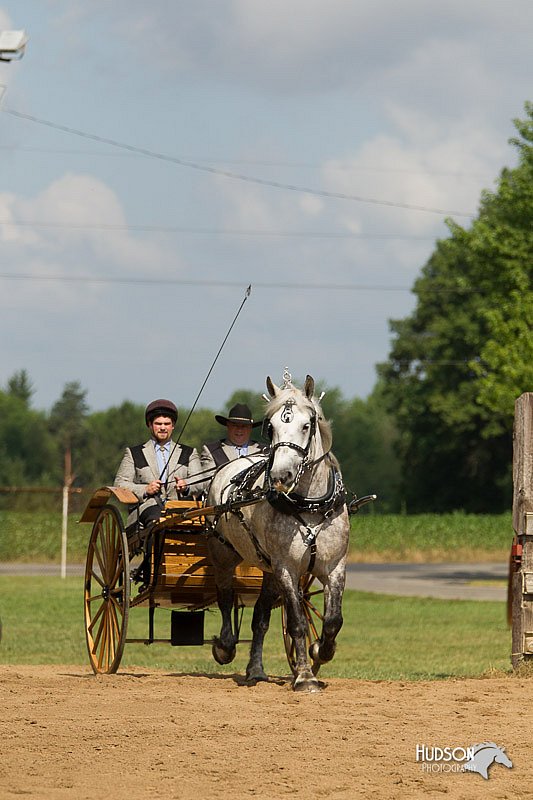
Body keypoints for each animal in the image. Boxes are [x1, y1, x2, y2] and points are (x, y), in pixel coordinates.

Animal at [205, 372, 350, 692]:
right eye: (270, 427)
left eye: (306, 425)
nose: (280, 475)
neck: (310, 505)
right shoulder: (287, 568)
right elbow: (297, 622)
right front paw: (305, 676)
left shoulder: (334, 567)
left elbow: (333, 621)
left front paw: (319, 649)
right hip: (224, 554)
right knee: (224, 598)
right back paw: (224, 646)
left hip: (268, 569)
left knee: (260, 617)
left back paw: (256, 670)